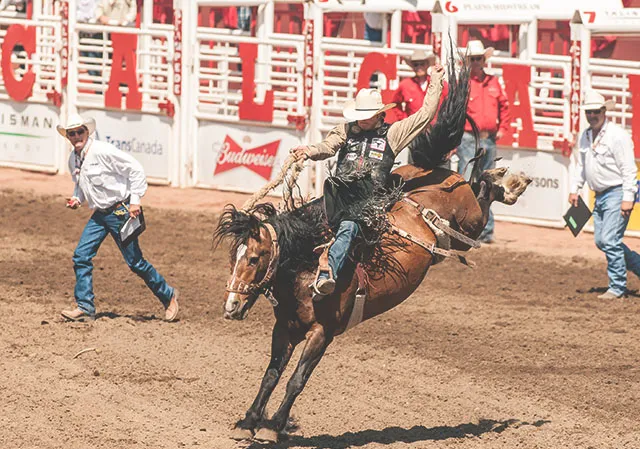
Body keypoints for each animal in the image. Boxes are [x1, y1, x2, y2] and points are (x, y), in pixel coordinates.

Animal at [214, 52, 528, 440]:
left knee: (482, 190)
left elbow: (296, 381)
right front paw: (249, 421)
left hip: (467, 224)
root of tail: (434, 174)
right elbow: (271, 375)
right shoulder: (285, 327)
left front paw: (274, 427)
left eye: (256, 258)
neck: (306, 265)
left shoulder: (322, 333)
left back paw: (511, 182)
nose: (231, 305)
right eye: (234, 257)